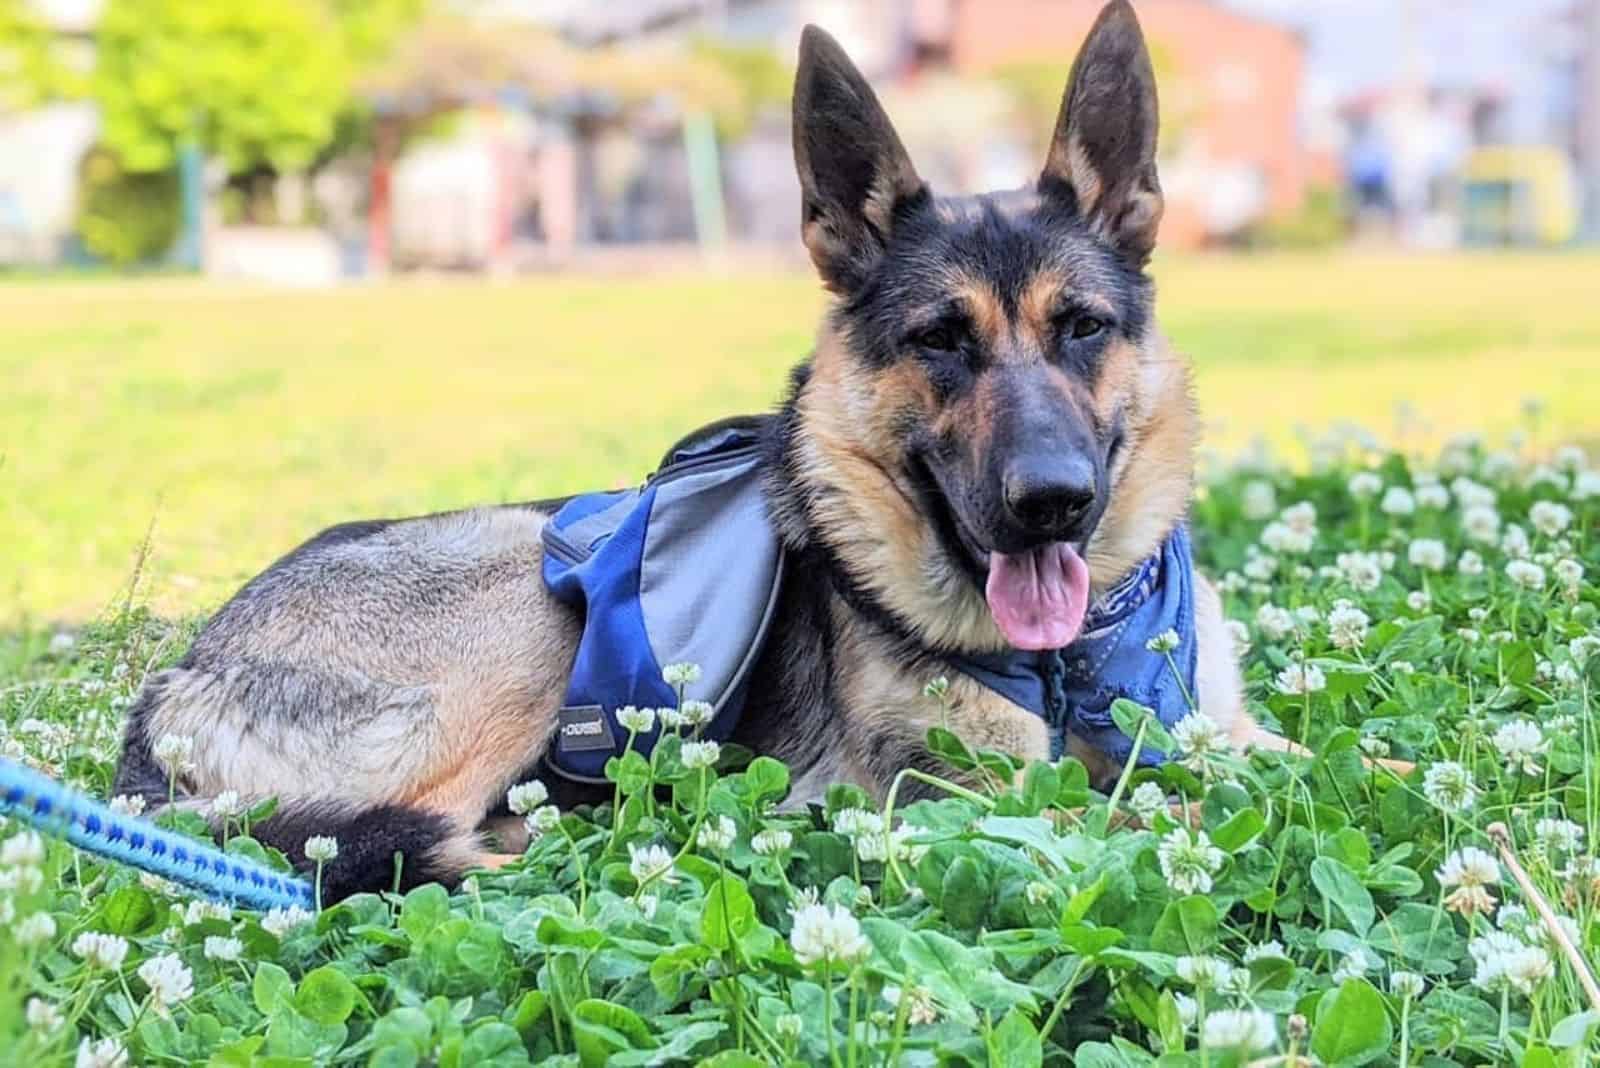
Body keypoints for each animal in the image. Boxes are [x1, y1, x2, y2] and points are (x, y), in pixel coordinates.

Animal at [116, 2, 1273, 901]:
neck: (1080, 653)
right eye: (941, 340)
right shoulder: (976, 799)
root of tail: (174, 686)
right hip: (523, 612)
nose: (1052, 500)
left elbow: (1296, 771)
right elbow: (1158, 817)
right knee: (390, 843)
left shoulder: (1217, 736)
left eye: (1082, 327)